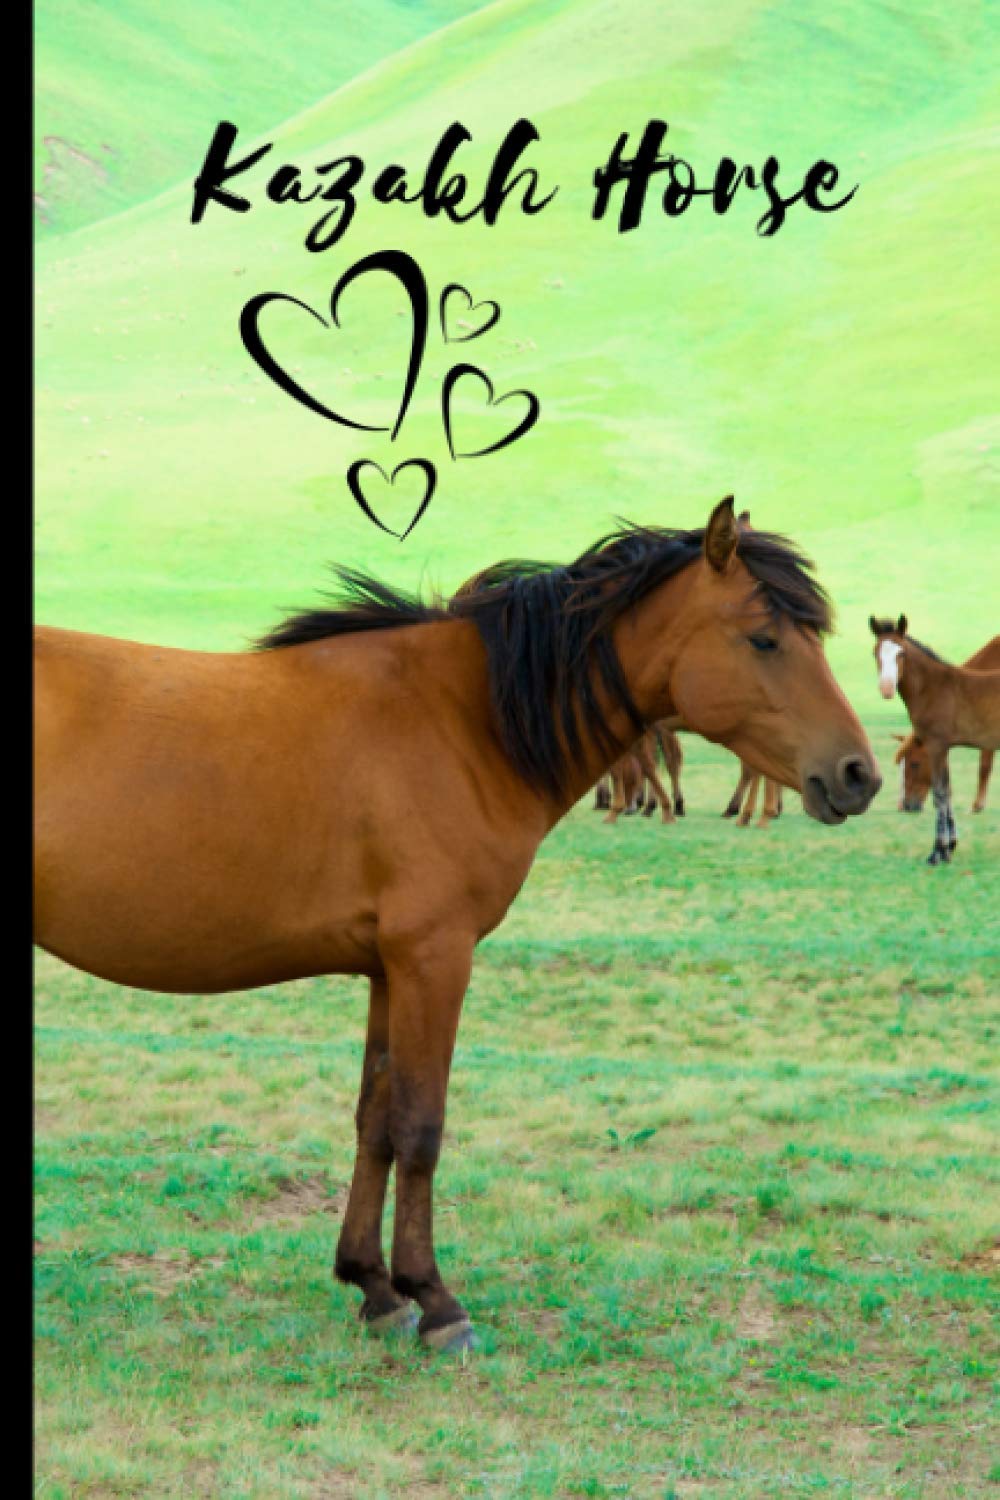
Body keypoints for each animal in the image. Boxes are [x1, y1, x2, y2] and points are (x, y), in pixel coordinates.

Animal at [34, 498, 881, 1354]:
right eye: (765, 637)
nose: (859, 775)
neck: (465, 719)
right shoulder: (433, 961)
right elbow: (421, 1127)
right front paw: (435, 1300)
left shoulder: (388, 970)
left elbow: (375, 1121)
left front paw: (374, 1288)